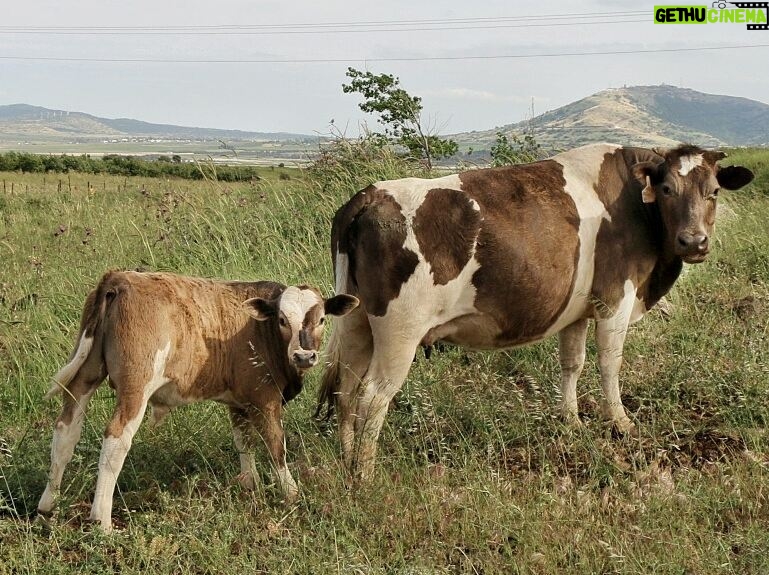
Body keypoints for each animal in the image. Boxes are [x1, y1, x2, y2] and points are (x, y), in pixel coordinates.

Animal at [37, 270, 358, 531]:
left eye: (321, 319)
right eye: (282, 320)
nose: (304, 356)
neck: (259, 331)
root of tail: (119, 278)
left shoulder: (238, 401)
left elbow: (243, 442)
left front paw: (249, 484)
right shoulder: (264, 398)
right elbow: (275, 445)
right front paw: (290, 493)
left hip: (86, 376)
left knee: (65, 432)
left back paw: (48, 505)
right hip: (135, 387)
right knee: (116, 442)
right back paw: (101, 520)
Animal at [317, 143, 754, 482]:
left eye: (714, 191)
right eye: (665, 188)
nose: (694, 242)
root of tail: (370, 195)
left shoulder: (577, 311)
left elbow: (572, 364)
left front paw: (572, 421)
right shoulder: (615, 298)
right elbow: (610, 364)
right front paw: (621, 423)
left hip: (356, 322)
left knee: (346, 390)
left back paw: (346, 461)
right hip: (399, 331)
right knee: (373, 397)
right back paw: (365, 476)